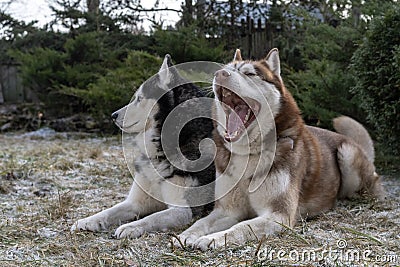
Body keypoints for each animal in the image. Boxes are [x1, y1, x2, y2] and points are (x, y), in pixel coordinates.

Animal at [71, 54, 216, 239]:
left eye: (139, 98)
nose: (113, 115)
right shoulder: (135, 202)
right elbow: (110, 210)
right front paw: (87, 220)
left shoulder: (183, 210)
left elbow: (152, 218)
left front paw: (131, 227)